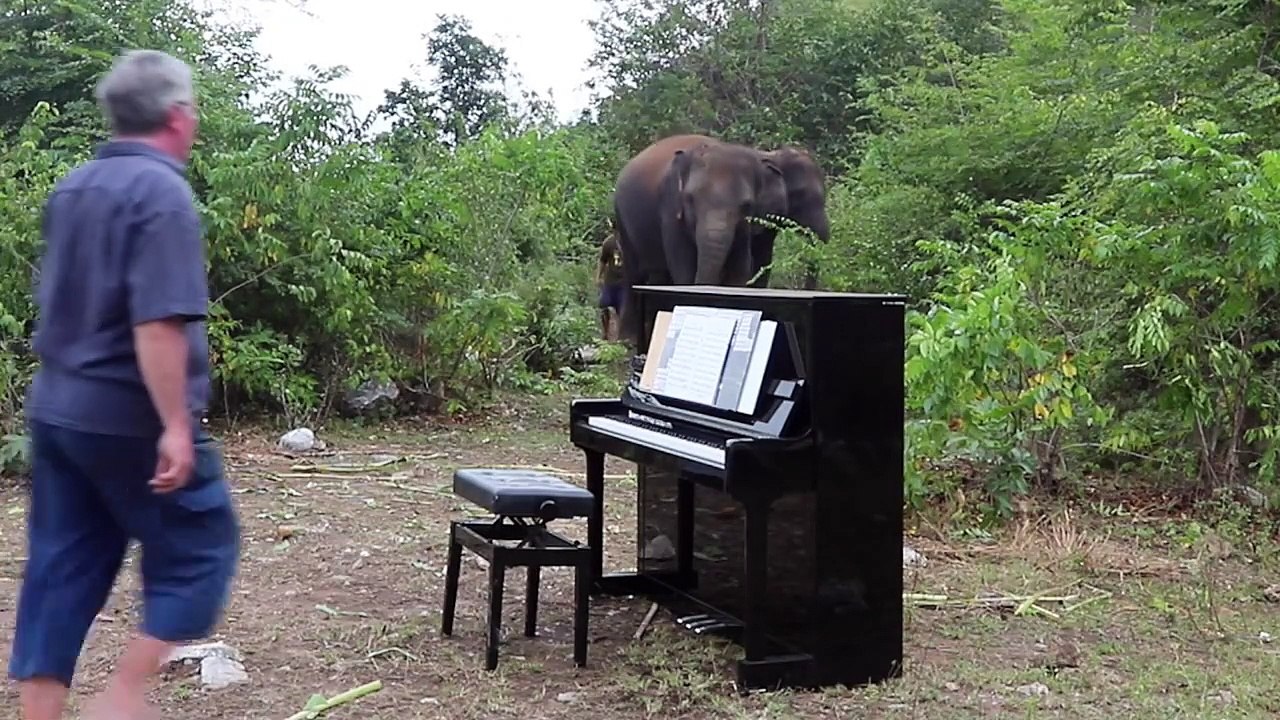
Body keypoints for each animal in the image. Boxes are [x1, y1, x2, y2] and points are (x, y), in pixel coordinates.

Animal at [611, 133, 831, 345]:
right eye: (689, 199)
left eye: (746, 205)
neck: (766, 154)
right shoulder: (670, 208)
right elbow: (684, 265)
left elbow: (745, 267)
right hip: (622, 219)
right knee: (634, 275)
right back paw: (627, 341)